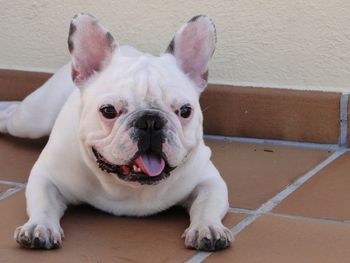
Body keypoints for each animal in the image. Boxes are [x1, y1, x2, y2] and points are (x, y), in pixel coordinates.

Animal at [1, 13, 234, 252]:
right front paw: (40, 226)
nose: (150, 121)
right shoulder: (47, 176)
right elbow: (43, 202)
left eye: (186, 111)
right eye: (109, 111)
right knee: (11, 115)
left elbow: (207, 204)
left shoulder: (208, 180)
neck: (130, 187)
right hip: (31, 120)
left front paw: (207, 227)